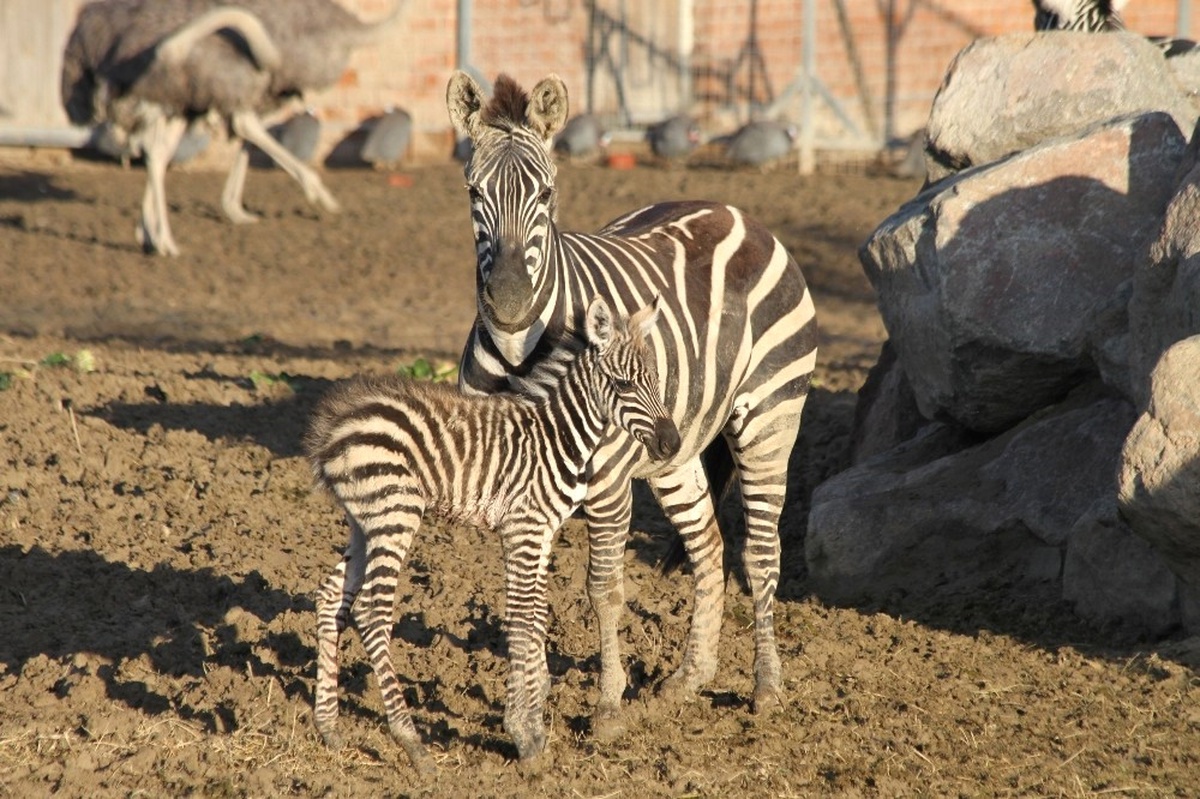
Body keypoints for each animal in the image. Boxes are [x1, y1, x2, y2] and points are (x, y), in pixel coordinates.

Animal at [305, 296, 679, 768]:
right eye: (623, 384)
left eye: (655, 380)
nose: (672, 443)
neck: (559, 435)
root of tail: (334, 426)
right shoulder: (524, 528)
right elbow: (521, 616)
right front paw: (524, 732)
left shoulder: (543, 531)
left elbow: (537, 615)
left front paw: (534, 713)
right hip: (396, 514)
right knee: (372, 612)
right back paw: (412, 742)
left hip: (363, 523)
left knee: (330, 596)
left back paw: (329, 728)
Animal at [446, 71, 819, 741]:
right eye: (472, 192)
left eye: (547, 193)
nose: (510, 303)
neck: (520, 356)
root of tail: (735, 212)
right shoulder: (506, 485)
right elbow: (522, 594)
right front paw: (528, 707)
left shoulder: (608, 481)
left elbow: (604, 589)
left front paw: (607, 706)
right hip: (675, 449)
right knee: (709, 547)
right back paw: (689, 678)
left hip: (770, 420)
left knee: (759, 553)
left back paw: (766, 687)